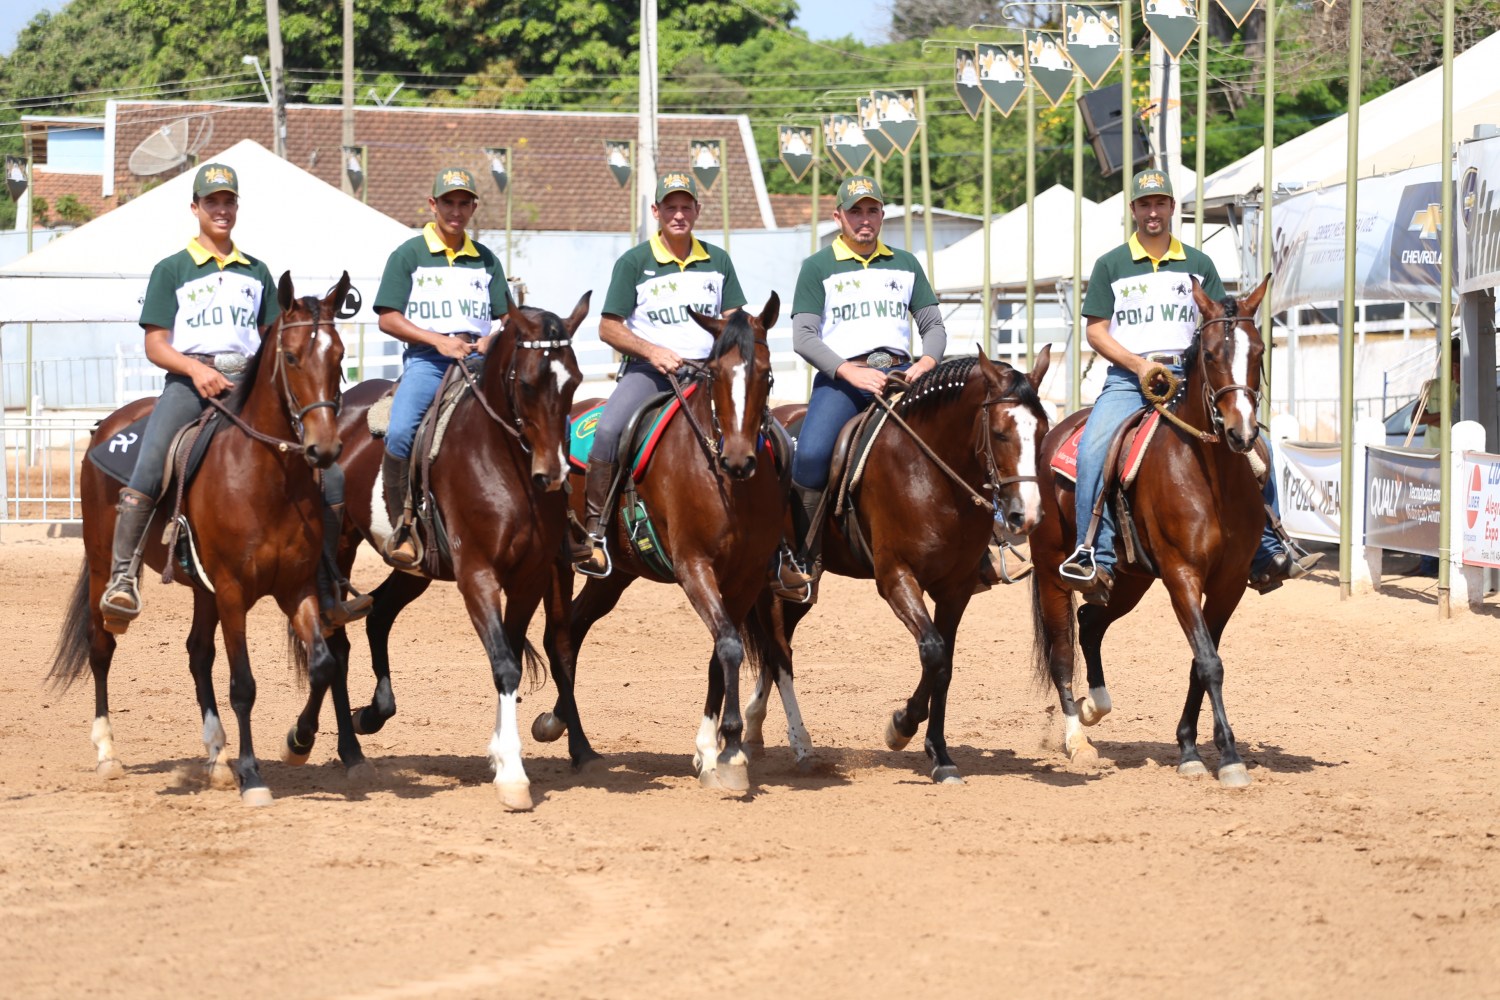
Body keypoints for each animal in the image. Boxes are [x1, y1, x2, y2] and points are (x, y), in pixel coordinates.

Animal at [47, 271, 354, 803]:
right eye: (292, 356)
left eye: (337, 355)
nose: (325, 447)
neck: (266, 479)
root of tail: (105, 427)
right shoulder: (232, 592)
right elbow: (244, 685)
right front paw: (254, 776)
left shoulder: (296, 588)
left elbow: (321, 665)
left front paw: (297, 743)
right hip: (105, 561)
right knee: (100, 644)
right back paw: (108, 753)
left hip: (201, 588)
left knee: (197, 654)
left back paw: (217, 756)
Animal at [295, 293, 588, 809]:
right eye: (528, 382)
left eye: (573, 380)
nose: (552, 474)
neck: (504, 464)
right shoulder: (477, 575)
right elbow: (504, 664)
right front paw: (512, 774)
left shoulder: (531, 576)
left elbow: (512, 658)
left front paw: (502, 757)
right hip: (339, 549)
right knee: (335, 638)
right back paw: (337, 747)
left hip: (416, 568)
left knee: (378, 614)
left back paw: (371, 715)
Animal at [531, 293, 786, 791]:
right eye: (716, 373)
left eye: (766, 374)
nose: (739, 460)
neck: (725, 481)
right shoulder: (694, 567)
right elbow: (728, 644)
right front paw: (729, 750)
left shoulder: (745, 578)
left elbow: (719, 650)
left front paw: (710, 751)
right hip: (556, 565)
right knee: (559, 639)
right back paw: (579, 747)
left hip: (614, 577)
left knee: (575, 628)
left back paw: (556, 723)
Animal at [741, 347, 1050, 785]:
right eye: (1001, 432)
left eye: (1042, 431)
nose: (1028, 516)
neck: (930, 472)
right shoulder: (896, 578)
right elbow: (933, 652)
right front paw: (900, 726)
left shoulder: (956, 589)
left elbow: (944, 666)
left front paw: (940, 755)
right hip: (770, 583)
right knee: (779, 652)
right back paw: (800, 746)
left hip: (800, 590)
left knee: (776, 647)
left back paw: (753, 728)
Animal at [1038, 275, 1272, 791]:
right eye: (1210, 354)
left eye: (1260, 350)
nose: (1242, 433)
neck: (1212, 478)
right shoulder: (1182, 575)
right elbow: (1209, 662)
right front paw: (1227, 757)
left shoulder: (1228, 583)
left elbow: (1201, 662)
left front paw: (1189, 747)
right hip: (1053, 571)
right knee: (1062, 647)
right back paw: (1077, 739)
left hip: (1129, 580)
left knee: (1090, 623)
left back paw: (1094, 706)